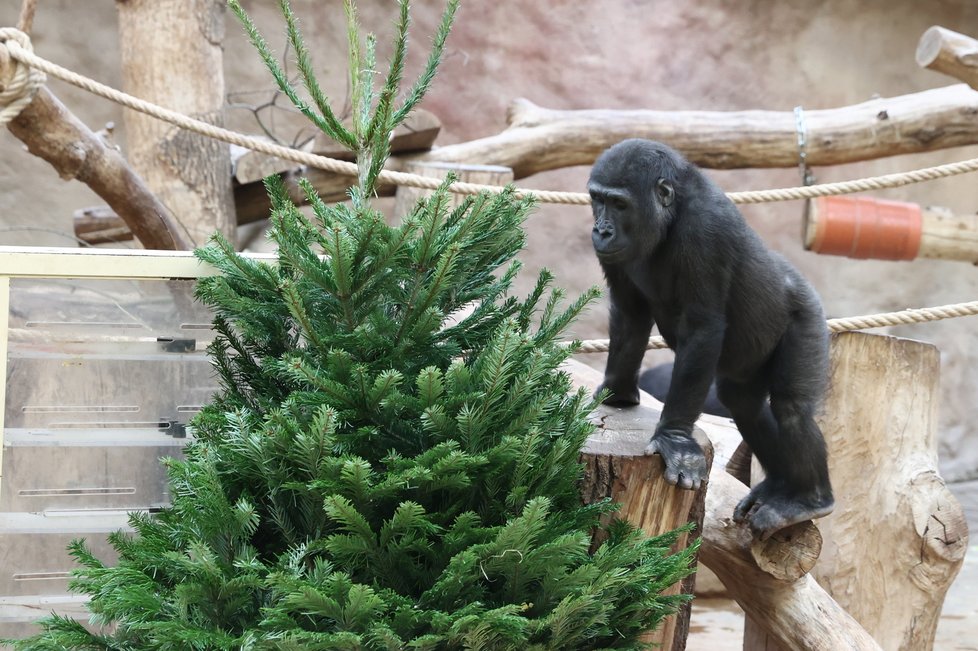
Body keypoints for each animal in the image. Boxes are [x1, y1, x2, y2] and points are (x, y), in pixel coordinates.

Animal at [588, 139, 832, 540]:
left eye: (619, 204)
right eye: (597, 199)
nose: (601, 230)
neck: (669, 214)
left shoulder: (706, 229)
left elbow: (702, 326)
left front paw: (674, 439)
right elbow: (629, 314)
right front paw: (616, 391)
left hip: (808, 314)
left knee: (792, 409)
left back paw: (810, 499)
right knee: (743, 403)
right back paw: (780, 486)